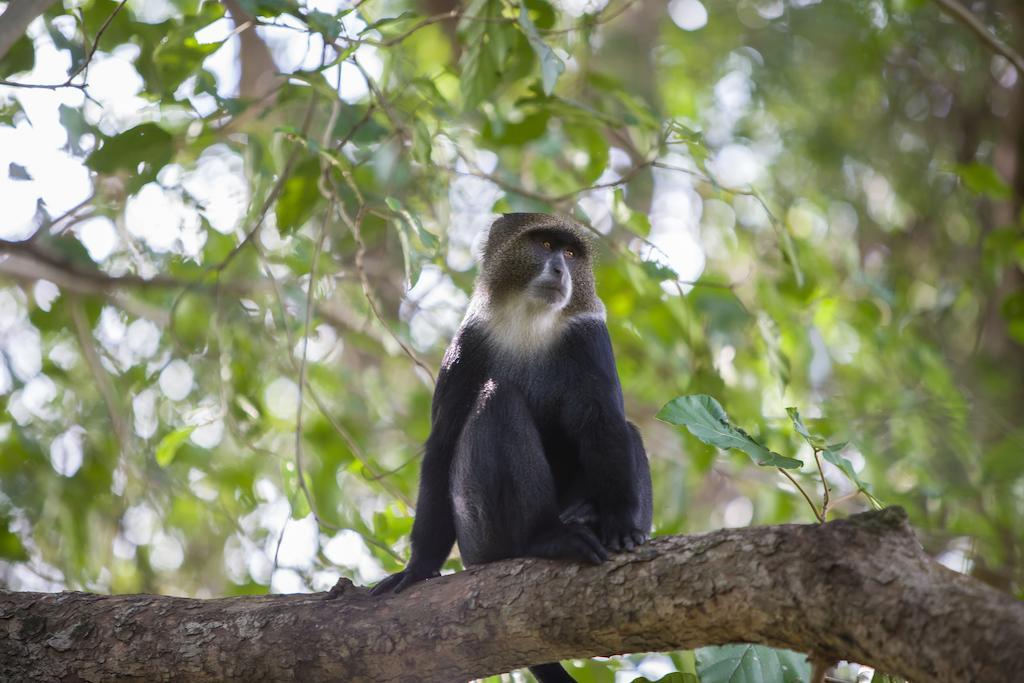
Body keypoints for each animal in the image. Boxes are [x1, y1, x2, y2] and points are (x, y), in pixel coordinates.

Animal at [372, 214, 651, 683]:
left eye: (571, 253)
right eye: (545, 245)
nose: (559, 270)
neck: (529, 324)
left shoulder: (589, 336)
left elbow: (604, 422)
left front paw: (619, 520)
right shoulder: (467, 345)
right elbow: (443, 443)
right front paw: (419, 567)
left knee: (629, 432)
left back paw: (586, 517)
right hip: (480, 539)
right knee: (498, 400)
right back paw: (544, 539)